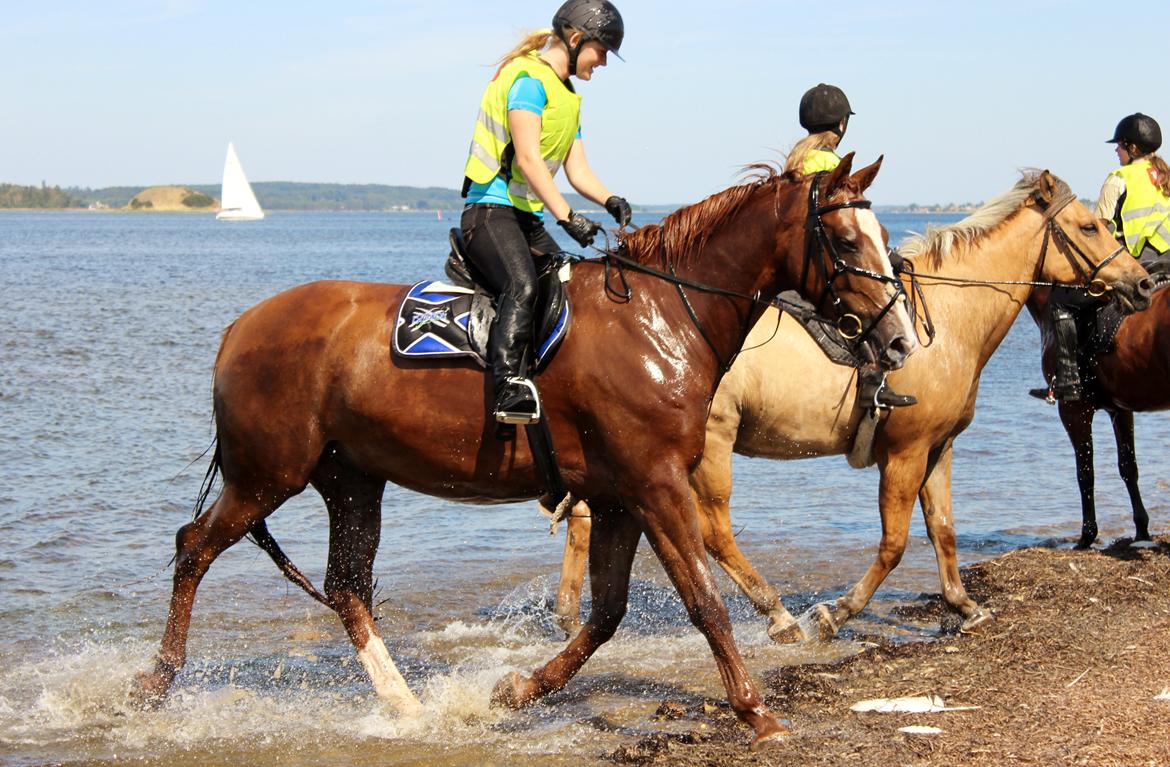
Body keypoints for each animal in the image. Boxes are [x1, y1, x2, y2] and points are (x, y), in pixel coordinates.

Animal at [130, 153, 912, 748]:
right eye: (846, 243)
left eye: (882, 234)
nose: (901, 339)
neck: (661, 318)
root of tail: (239, 329)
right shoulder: (656, 485)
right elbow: (703, 601)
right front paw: (756, 711)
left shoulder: (618, 497)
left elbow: (606, 614)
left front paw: (517, 689)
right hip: (268, 474)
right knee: (195, 547)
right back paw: (155, 683)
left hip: (351, 481)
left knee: (347, 588)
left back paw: (405, 703)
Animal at [549, 171, 1151, 640]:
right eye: (1091, 226)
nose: (1143, 283)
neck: (947, 320)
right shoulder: (905, 453)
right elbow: (894, 543)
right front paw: (837, 613)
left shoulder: (938, 449)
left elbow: (944, 531)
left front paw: (963, 605)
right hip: (709, 446)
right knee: (714, 531)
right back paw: (777, 615)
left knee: (586, 517)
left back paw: (568, 613)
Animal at [1029, 284, 1165, 547]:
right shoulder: (1119, 409)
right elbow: (1128, 467)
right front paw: (1141, 530)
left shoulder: (1074, 410)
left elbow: (1085, 473)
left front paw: (1087, 535)